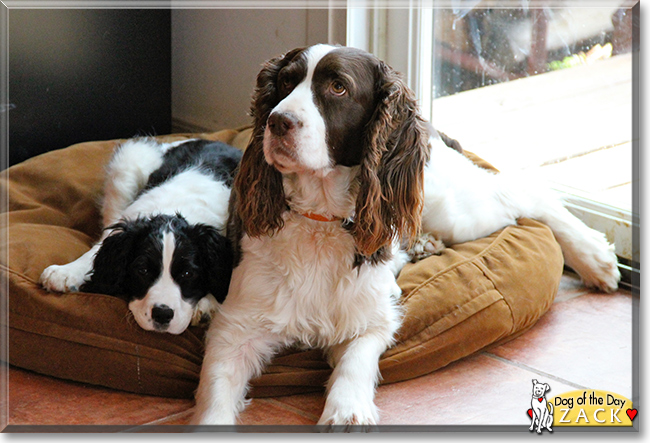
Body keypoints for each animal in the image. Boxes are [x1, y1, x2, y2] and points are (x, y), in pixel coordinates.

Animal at [39, 139, 240, 332]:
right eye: (142, 270)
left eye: (188, 273)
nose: (162, 314)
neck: (173, 211)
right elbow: (99, 246)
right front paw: (65, 272)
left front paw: (207, 305)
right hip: (129, 161)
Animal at [190, 45, 616, 426]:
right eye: (284, 82)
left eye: (338, 88)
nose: (277, 122)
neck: (320, 219)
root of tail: (430, 125)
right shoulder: (237, 326)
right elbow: (214, 397)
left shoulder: (373, 314)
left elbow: (356, 359)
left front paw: (347, 411)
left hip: (458, 210)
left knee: (527, 192)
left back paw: (595, 258)